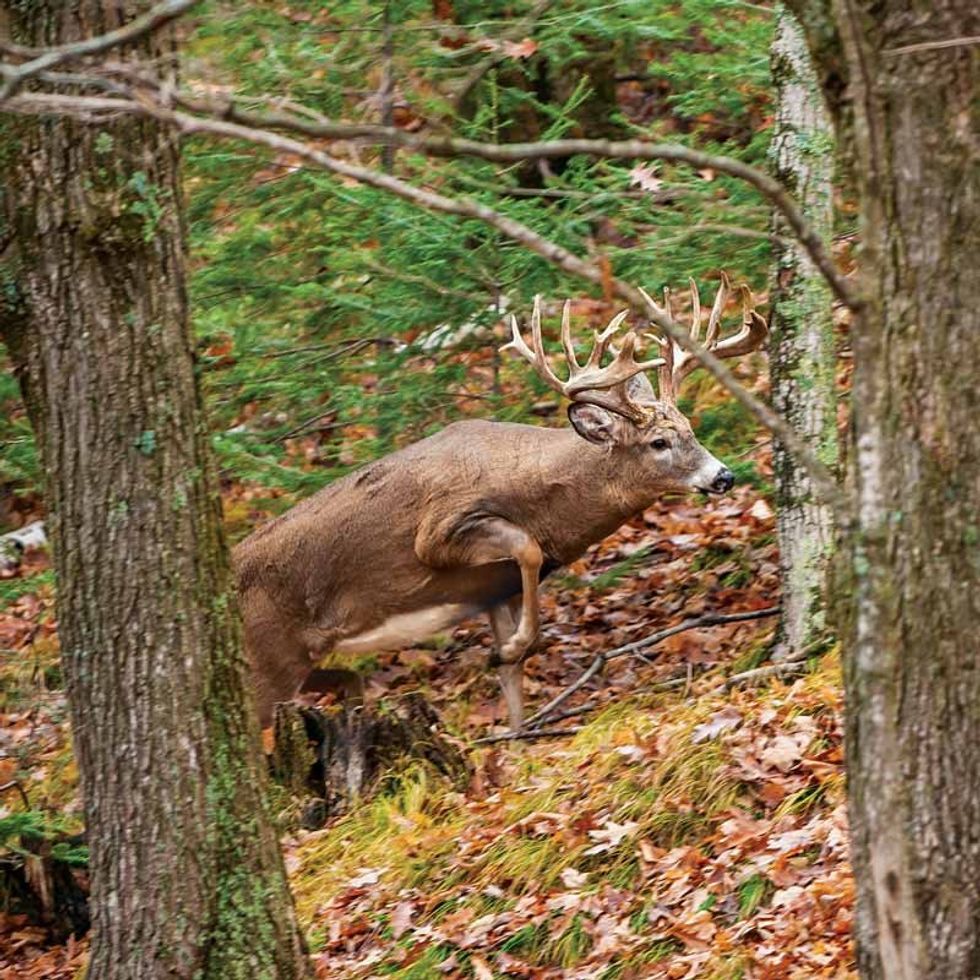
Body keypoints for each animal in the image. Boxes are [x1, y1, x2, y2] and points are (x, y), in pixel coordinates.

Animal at [234, 274, 768, 728]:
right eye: (658, 442)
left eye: (691, 429)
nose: (723, 476)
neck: (538, 492)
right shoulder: (439, 529)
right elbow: (525, 549)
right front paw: (506, 651)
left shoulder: (495, 589)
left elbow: (514, 676)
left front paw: (514, 726)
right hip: (265, 659)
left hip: (296, 662)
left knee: (343, 681)